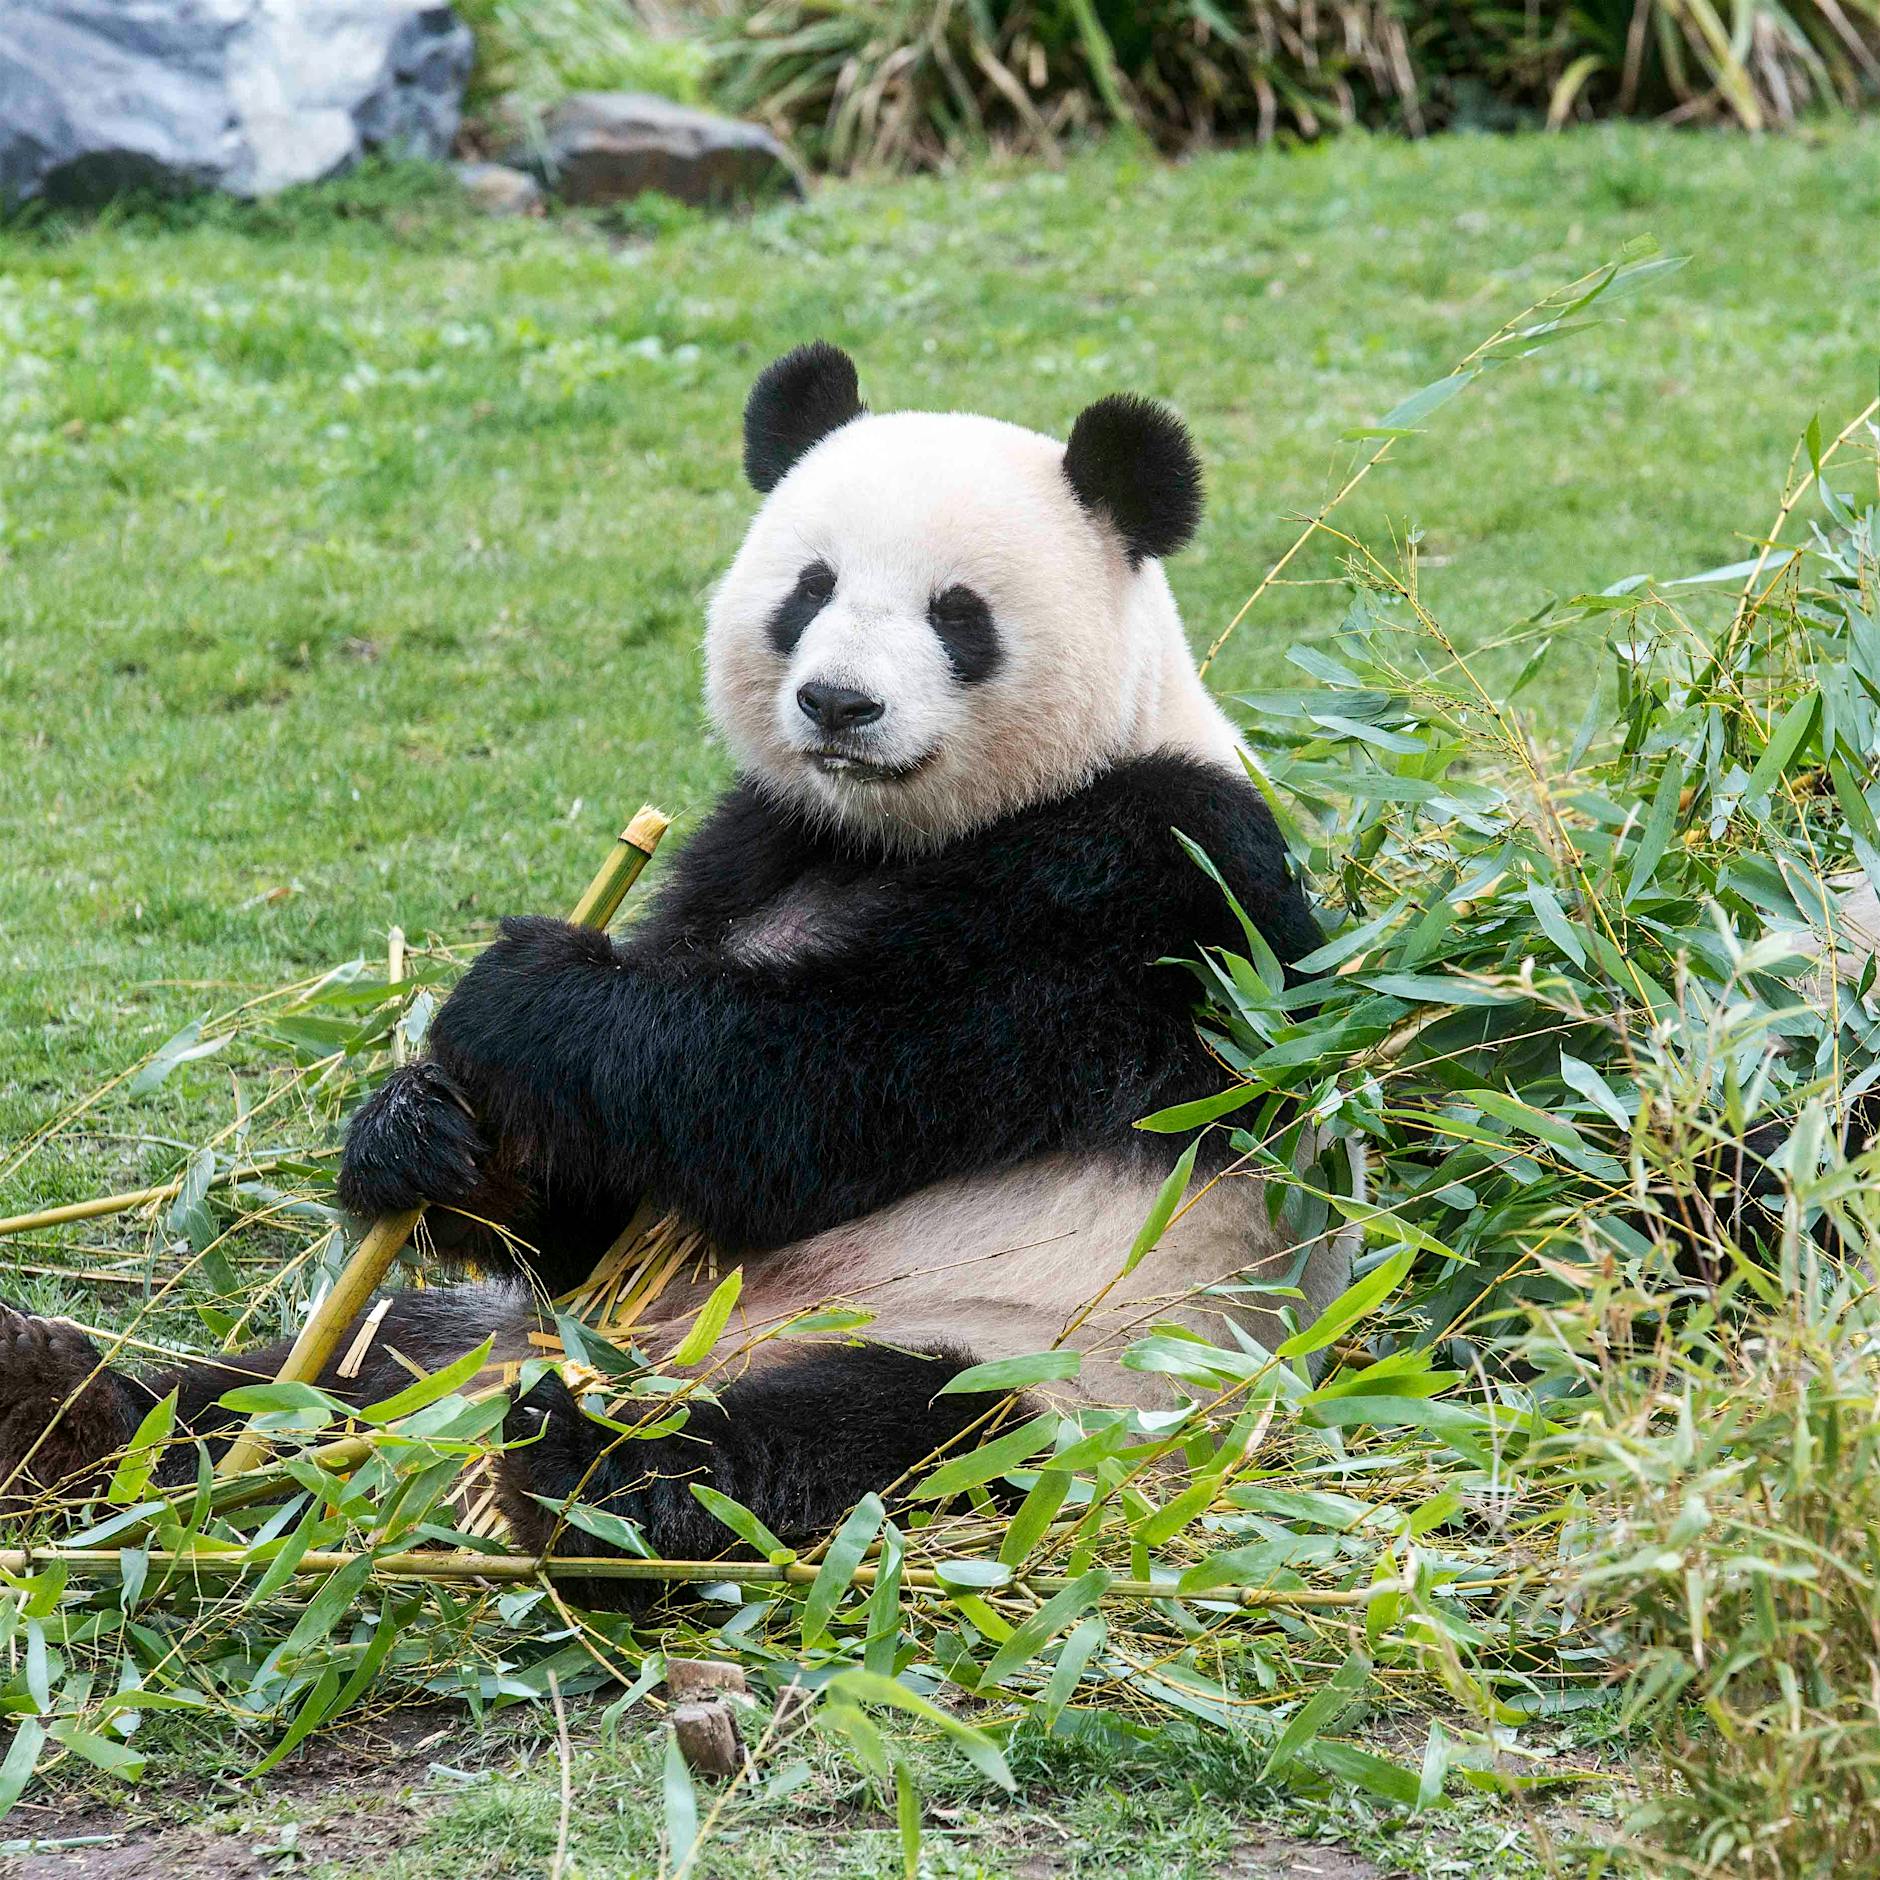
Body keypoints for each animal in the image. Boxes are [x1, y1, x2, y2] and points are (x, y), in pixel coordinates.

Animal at [0, 343, 1356, 1588]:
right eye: (808, 588)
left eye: (955, 614)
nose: (838, 704)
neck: (889, 835)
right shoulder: (745, 849)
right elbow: (597, 1201)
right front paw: (416, 1128)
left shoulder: (1150, 883)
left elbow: (806, 1093)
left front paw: (524, 997)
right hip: (470, 1339)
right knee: (308, 1376)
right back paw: (67, 1409)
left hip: (1055, 1358)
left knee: (861, 1437)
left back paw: (581, 1477)